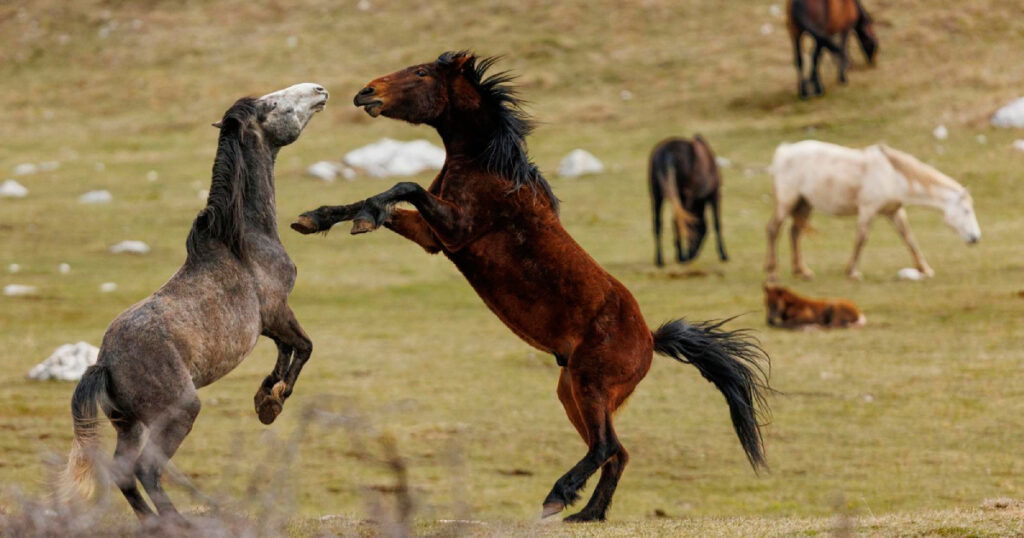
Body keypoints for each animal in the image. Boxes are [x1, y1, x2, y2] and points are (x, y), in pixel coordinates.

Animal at [58, 81, 327, 522]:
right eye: (273, 104)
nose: (319, 90)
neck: (242, 242)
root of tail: (104, 364)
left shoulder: (268, 324)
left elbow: (287, 350)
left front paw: (265, 397)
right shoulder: (276, 310)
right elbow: (303, 346)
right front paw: (272, 402)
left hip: (127, 424)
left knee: (123, 472)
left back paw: (154, 523)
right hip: (179, 412)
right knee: (147, 469)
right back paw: (177, 522)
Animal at [647, 135, 729, 264]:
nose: (692, 256)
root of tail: (668, 153)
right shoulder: (715, 194)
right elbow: (717, 223)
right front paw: (724, 255)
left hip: (657, 194)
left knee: (659, 223)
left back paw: (660, 260)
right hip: (684, 196)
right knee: (678, 221)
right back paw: (681, 257)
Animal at [765, 138, 978, 280]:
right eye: (966, 210)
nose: (976, 238)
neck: (892, 175)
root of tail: (783, 151)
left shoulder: (894, 212)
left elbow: (909, 238)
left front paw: (925, 269)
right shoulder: (868, 210)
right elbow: (862, 238)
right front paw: (852, 272)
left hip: (804, 204)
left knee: (795, 233)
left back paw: (802, 271)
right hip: (787, 202)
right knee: (774, 230)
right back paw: (772, 271)